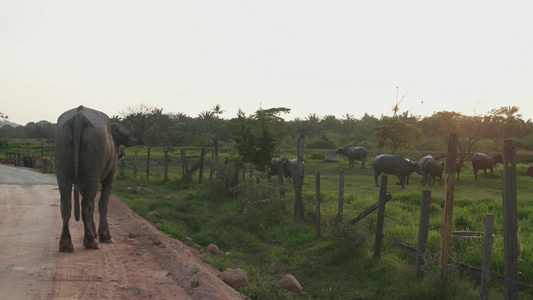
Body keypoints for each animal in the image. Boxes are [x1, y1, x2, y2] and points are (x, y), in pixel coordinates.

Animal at [54, 105, 143, 251]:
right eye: (119, 143)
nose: (122, 153)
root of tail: (79, 117)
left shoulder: (82, 182)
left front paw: (94, 232)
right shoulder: (111, 176)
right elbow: (103, 203)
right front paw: (104, 235)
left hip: (63, 170)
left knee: (66, 203)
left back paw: (66, 243)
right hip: (93, 173)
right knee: (87, 205)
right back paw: (91, 241)